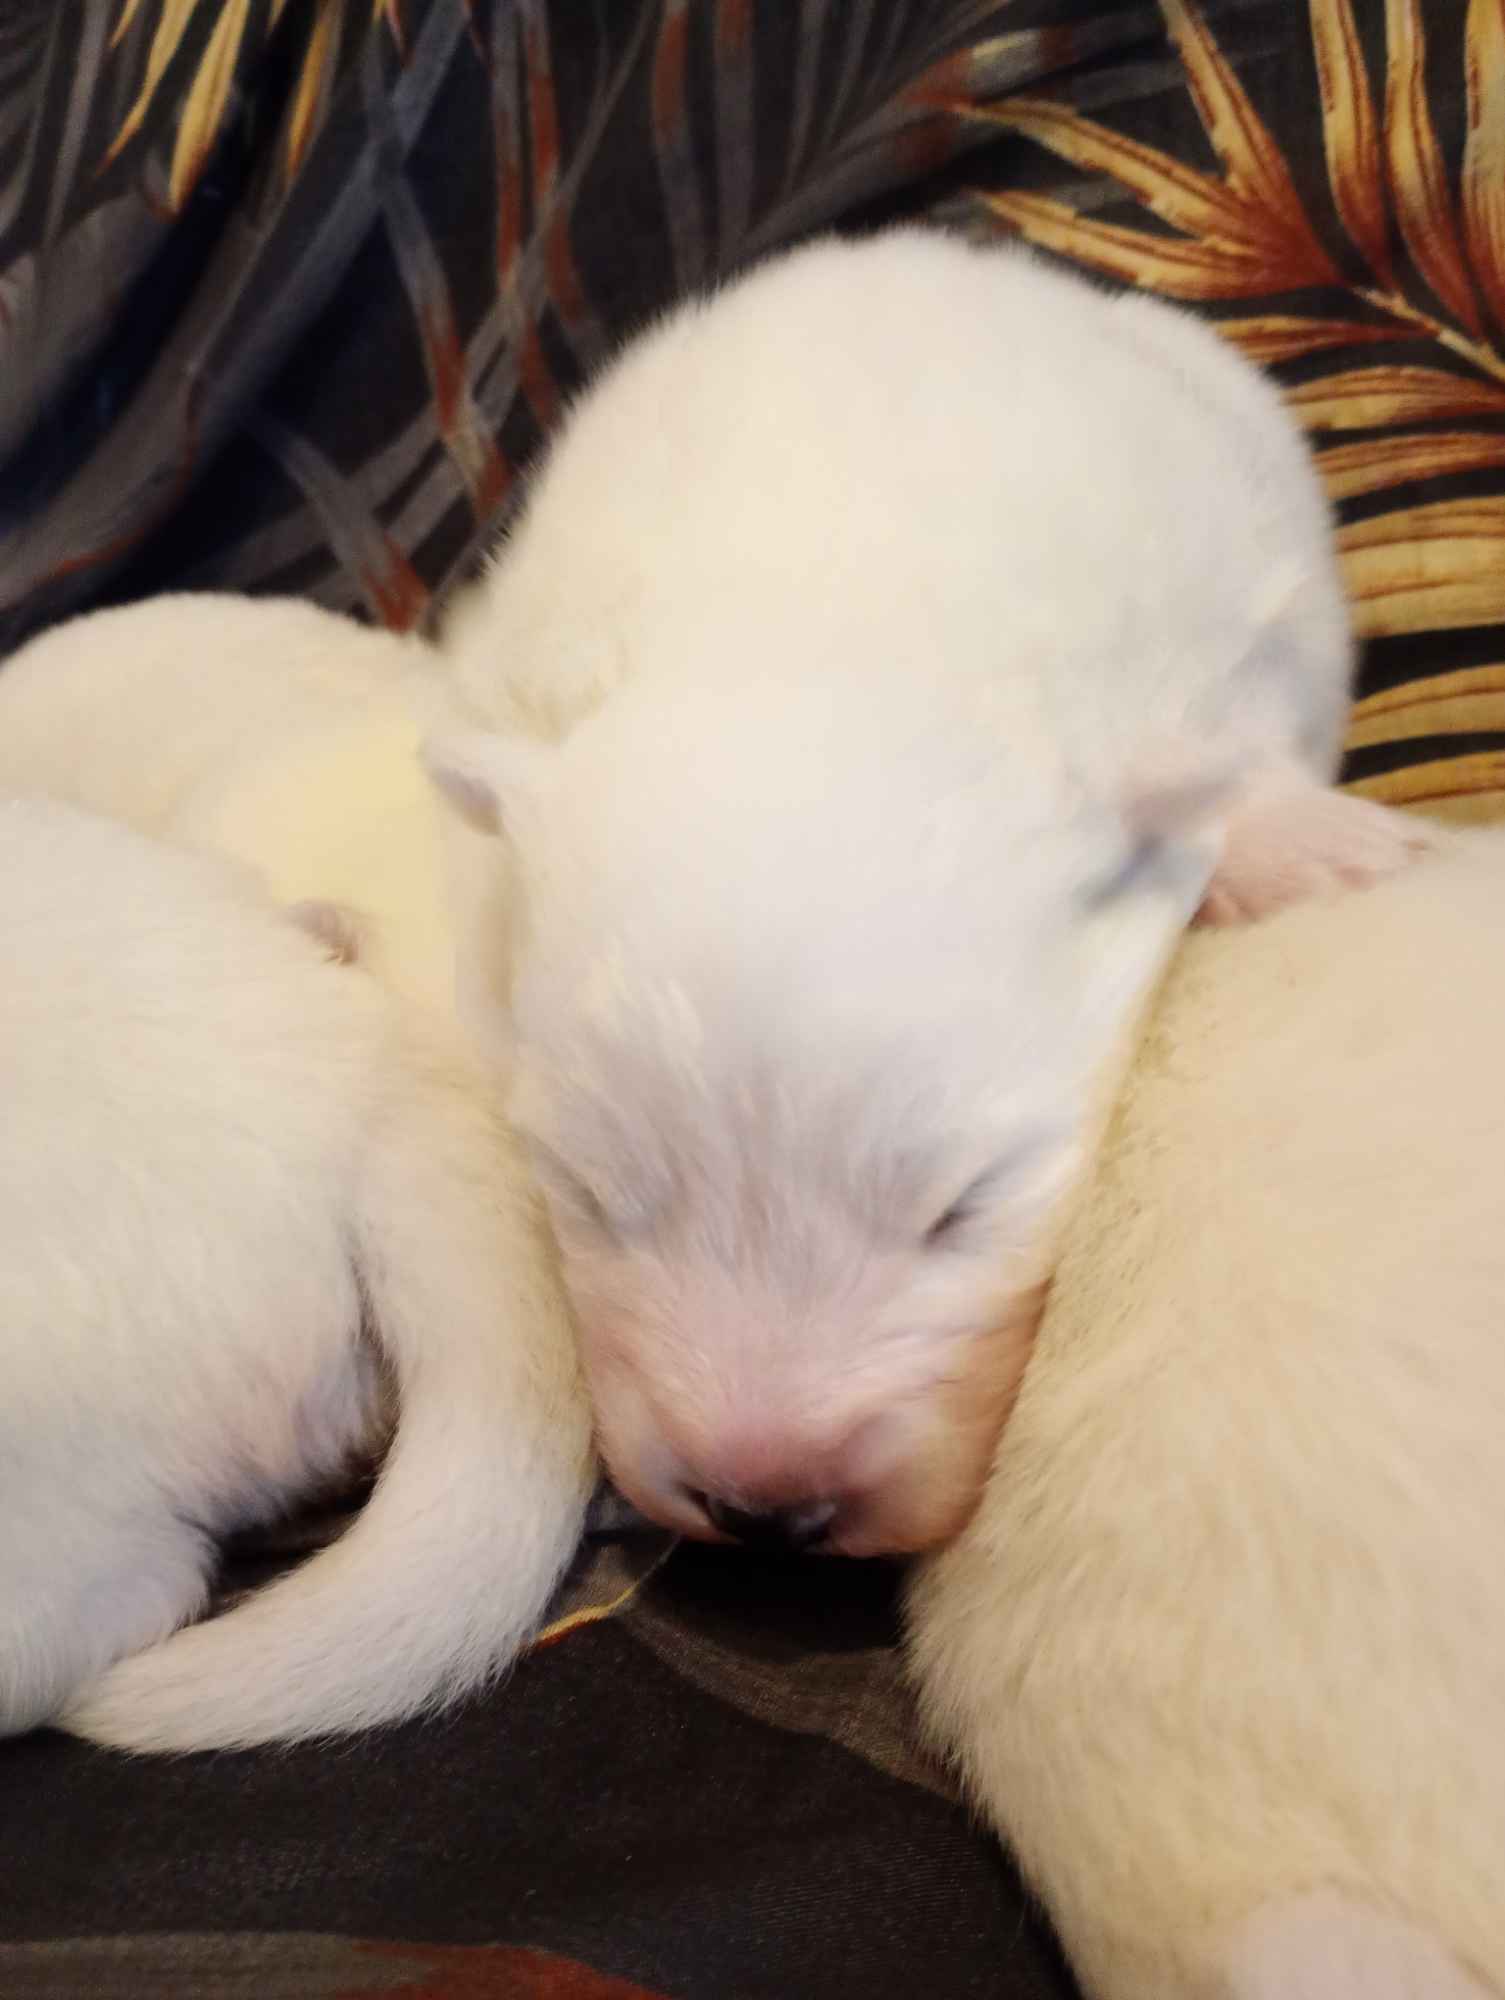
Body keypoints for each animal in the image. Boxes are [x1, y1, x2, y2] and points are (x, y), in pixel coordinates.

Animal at [424, 223, 1424, 1560]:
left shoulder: (1231, 652)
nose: (764, 1504)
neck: (822, 637)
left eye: (964, 1206)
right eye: (588, 1193)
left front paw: (1321, 847)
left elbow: (1237, 761)